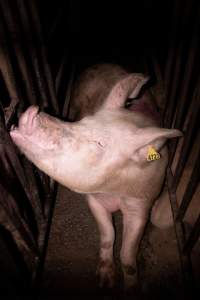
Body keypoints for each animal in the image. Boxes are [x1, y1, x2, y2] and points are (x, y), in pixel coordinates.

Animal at [9, 63, 183, 290]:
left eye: (100, 143)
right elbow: (108, 234)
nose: (32, 111)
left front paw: (130, 285)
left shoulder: (142, 203)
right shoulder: (93, 199)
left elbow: (128, 253)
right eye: (82, 121)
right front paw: (105, 282)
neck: (113, 190)